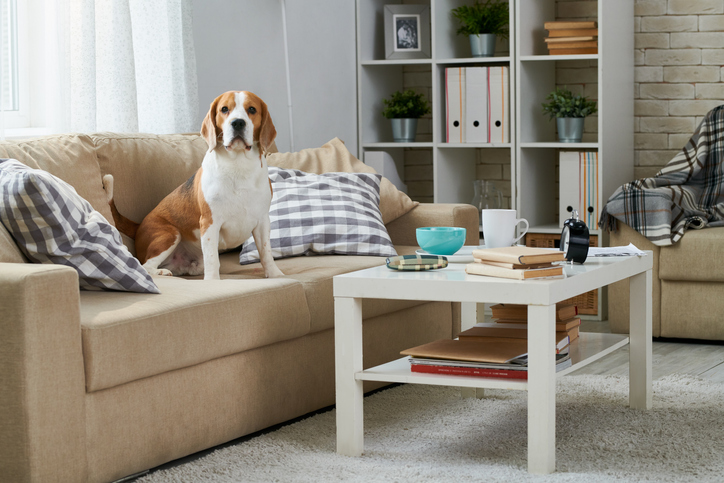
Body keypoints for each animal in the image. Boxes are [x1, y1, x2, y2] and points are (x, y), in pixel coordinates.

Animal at [106, 90, 284, 280]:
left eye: (252, 109)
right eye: (224, 109)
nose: (237, 122)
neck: (238, 165)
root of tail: (138, 226)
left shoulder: (262, 221)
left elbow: (266, 252)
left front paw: (275, 274)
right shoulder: (209, 222)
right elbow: (212, 258)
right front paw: (213, 281)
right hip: (170, 234)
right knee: (145, 265)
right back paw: (161, 271)